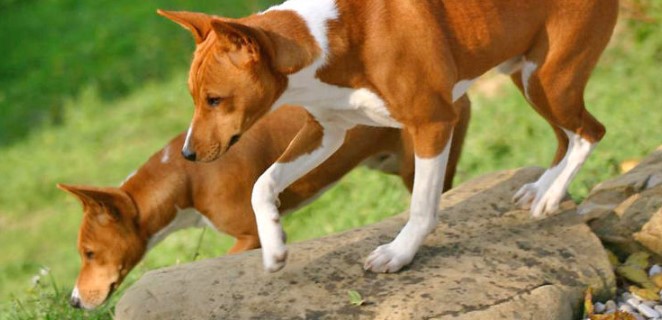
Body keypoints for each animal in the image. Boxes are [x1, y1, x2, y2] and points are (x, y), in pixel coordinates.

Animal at [157, 0, 616, 274]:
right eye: (195, 99)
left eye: (215, 100)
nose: (188, 154)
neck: (335, 41)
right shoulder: (325, 132)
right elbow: (262, 184)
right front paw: (274, 246)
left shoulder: (433, 122)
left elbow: (422, 208)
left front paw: (400, 252)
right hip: (527, 74)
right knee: (567, 136)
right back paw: (543, 188)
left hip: (549, 81)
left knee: (590, 132)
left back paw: (552, 196)